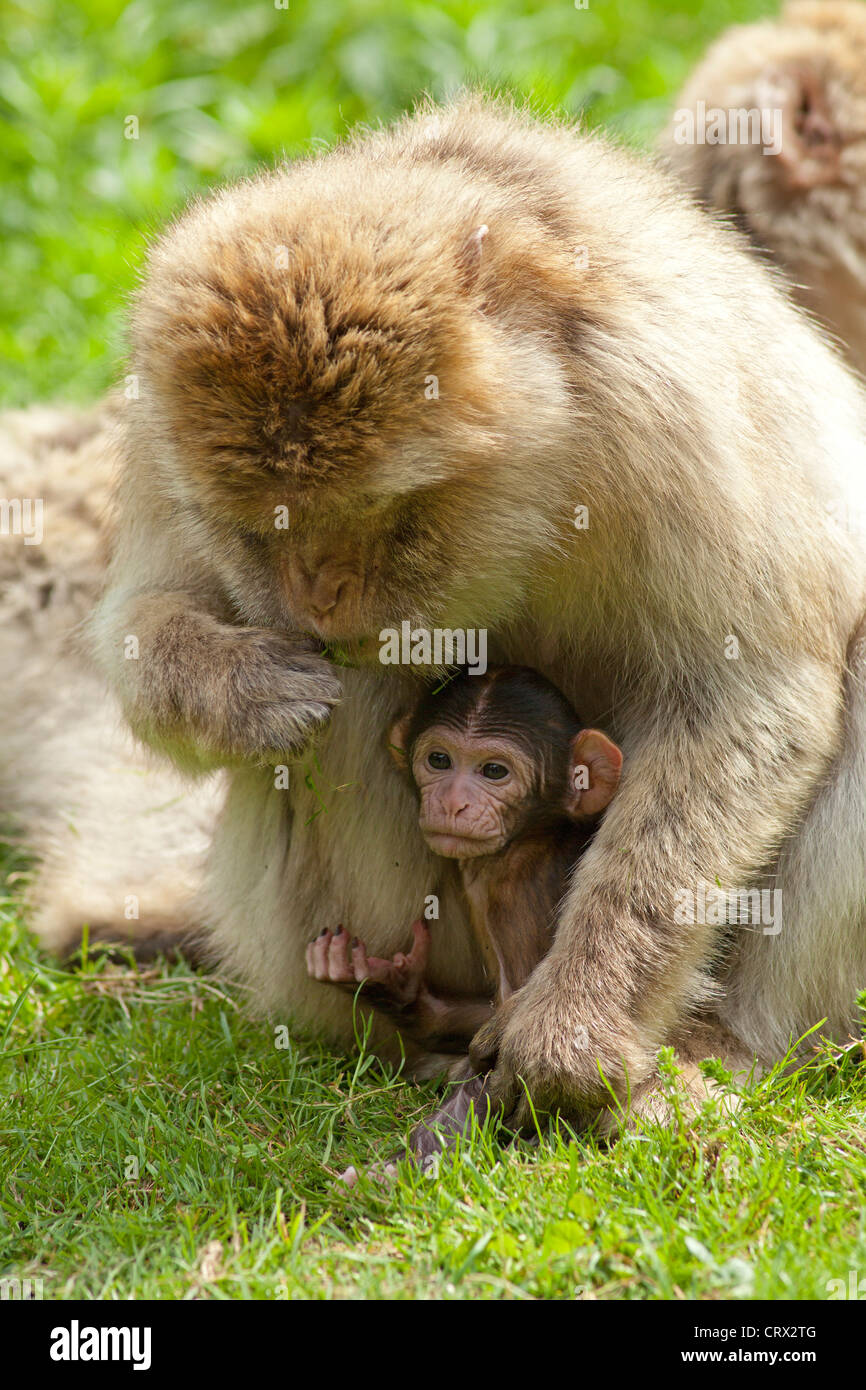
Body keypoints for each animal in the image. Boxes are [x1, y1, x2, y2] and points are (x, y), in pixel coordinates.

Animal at [304, 667, 622, 1167]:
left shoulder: (517, 899)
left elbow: (504, 1056)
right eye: (439, 760)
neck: (527, 841)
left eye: (494, 771)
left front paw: (403, 1168)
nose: (452, 802)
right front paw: (384, 983)